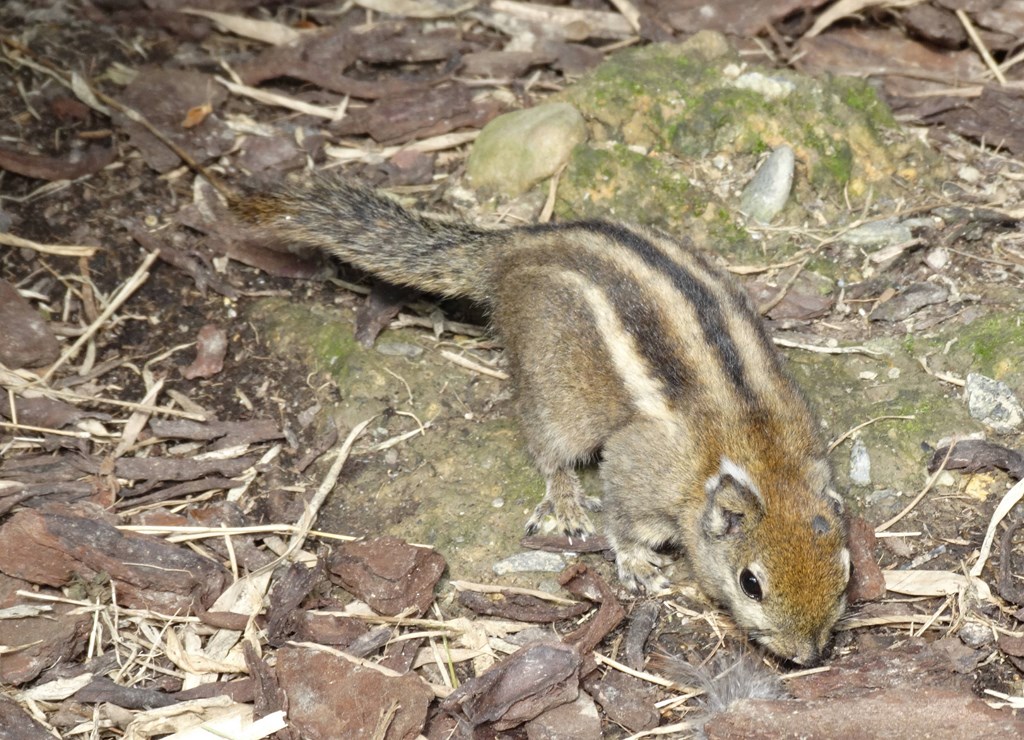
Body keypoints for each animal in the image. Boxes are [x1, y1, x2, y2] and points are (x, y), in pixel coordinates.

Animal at [236, 176, 851, 665]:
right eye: (751, 584)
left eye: (845, 571)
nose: (807, 655)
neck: (760, 450)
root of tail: (511, 248)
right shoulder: (639, 466)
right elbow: (624, 518)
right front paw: (636, 561)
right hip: (556, 393)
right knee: (549, 447)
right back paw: (566, 502)